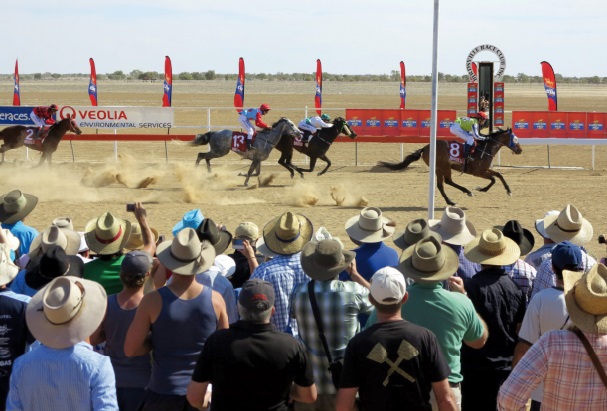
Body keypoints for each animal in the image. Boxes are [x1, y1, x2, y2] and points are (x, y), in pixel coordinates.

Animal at [380, 127, 524, 206]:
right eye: (515, 139)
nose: (520, 150)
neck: (485, 148)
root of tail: (425, 148)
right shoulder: (477, 171)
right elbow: (494, 178)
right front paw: (481, 189)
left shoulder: (485, 169)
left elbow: (498, 175)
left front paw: (507, 190)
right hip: (444, 166)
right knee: (448, 181)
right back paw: (467, 192)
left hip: (438, 168)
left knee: (440, 185)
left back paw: (450, 201)